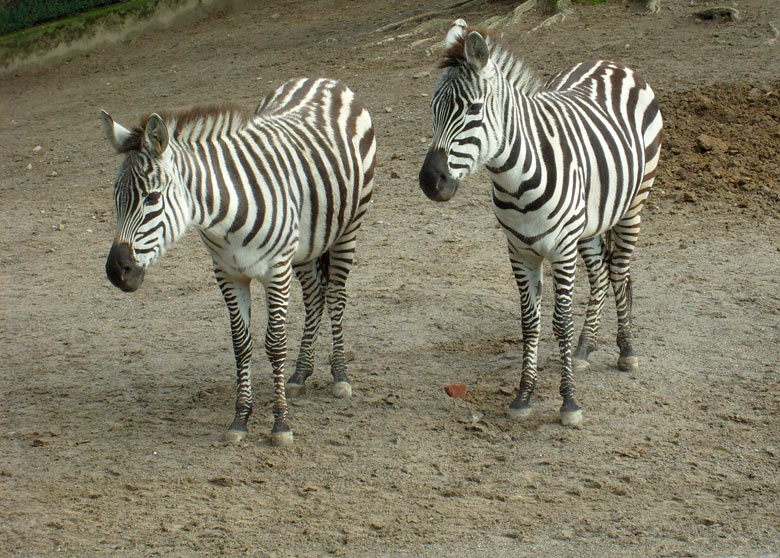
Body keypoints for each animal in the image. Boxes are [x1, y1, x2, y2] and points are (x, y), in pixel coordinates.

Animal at [102, 77, 376, 446]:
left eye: (152, 197)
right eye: (116, 198)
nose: (117, 272)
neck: (223, 216)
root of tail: (325, 81)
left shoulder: (276, 271)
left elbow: (274, 344)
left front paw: (280, 424)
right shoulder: (228, 274)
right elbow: (241, 344)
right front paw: (240, 418)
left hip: (348, 227)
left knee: (335, 296)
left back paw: (340, 376)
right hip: (306, 243)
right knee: (315, 296)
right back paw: (300, 373)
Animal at [420, 19, 664, 426]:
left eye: (473, 109)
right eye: (433, 109)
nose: (429, 182)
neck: (515, 178)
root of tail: (609, 62)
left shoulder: (561, 250)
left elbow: (560, 322)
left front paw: (569, 402)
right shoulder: (519, 251)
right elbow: (530, 322)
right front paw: (524, 395)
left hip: (634, 203)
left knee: (619, 272)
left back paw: (626, 351)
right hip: (590, 222)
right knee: (601, 274)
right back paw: (584, 348)